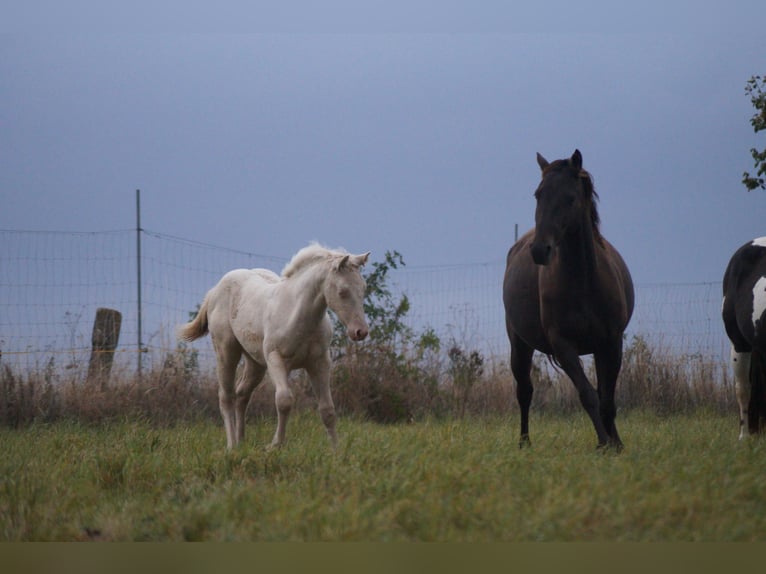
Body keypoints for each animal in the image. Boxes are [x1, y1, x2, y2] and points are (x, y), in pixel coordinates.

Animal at [181, 243, 372, 450]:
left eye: (363, 288)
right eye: (342, 291)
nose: (360, 331)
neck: (298, 316)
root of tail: (215, 290)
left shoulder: (319, 363)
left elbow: (328, 409)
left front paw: (336, 450)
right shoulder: (276, 359)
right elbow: (284, 401)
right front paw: (275, 445)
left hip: (255, 363)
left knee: (242, 394)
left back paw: (241, 442)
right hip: (226, 352)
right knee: (226, 396)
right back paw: (232, 445)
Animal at [504, 151, 636, 452]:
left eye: (570, 198)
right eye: (538, 194)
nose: (539, 250)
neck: (584, 283)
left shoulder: (611, 342)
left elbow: (607, 397)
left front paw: (616, 444)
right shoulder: (564, 346)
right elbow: (588, 395)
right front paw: (603, 443)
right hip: (519, 344)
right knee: (524, 392)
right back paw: (524, 442)